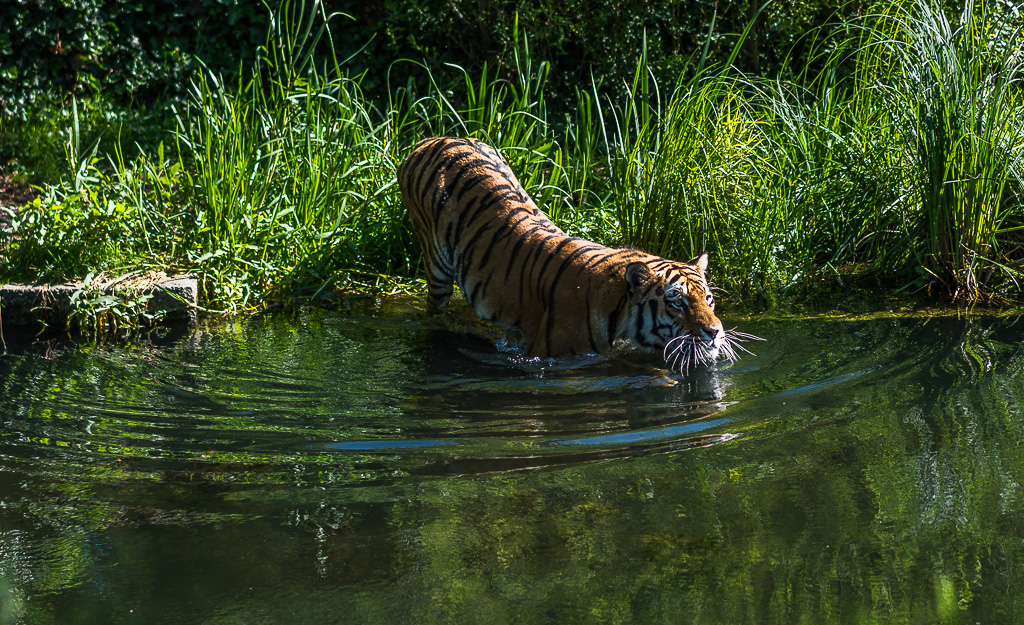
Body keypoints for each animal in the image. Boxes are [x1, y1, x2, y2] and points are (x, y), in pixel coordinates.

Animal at [398, 136, 739, 371]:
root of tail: (430, 140)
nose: (715, 332)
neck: (620, 315)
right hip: (436, 266)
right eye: (677, 302)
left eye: (709, 299)